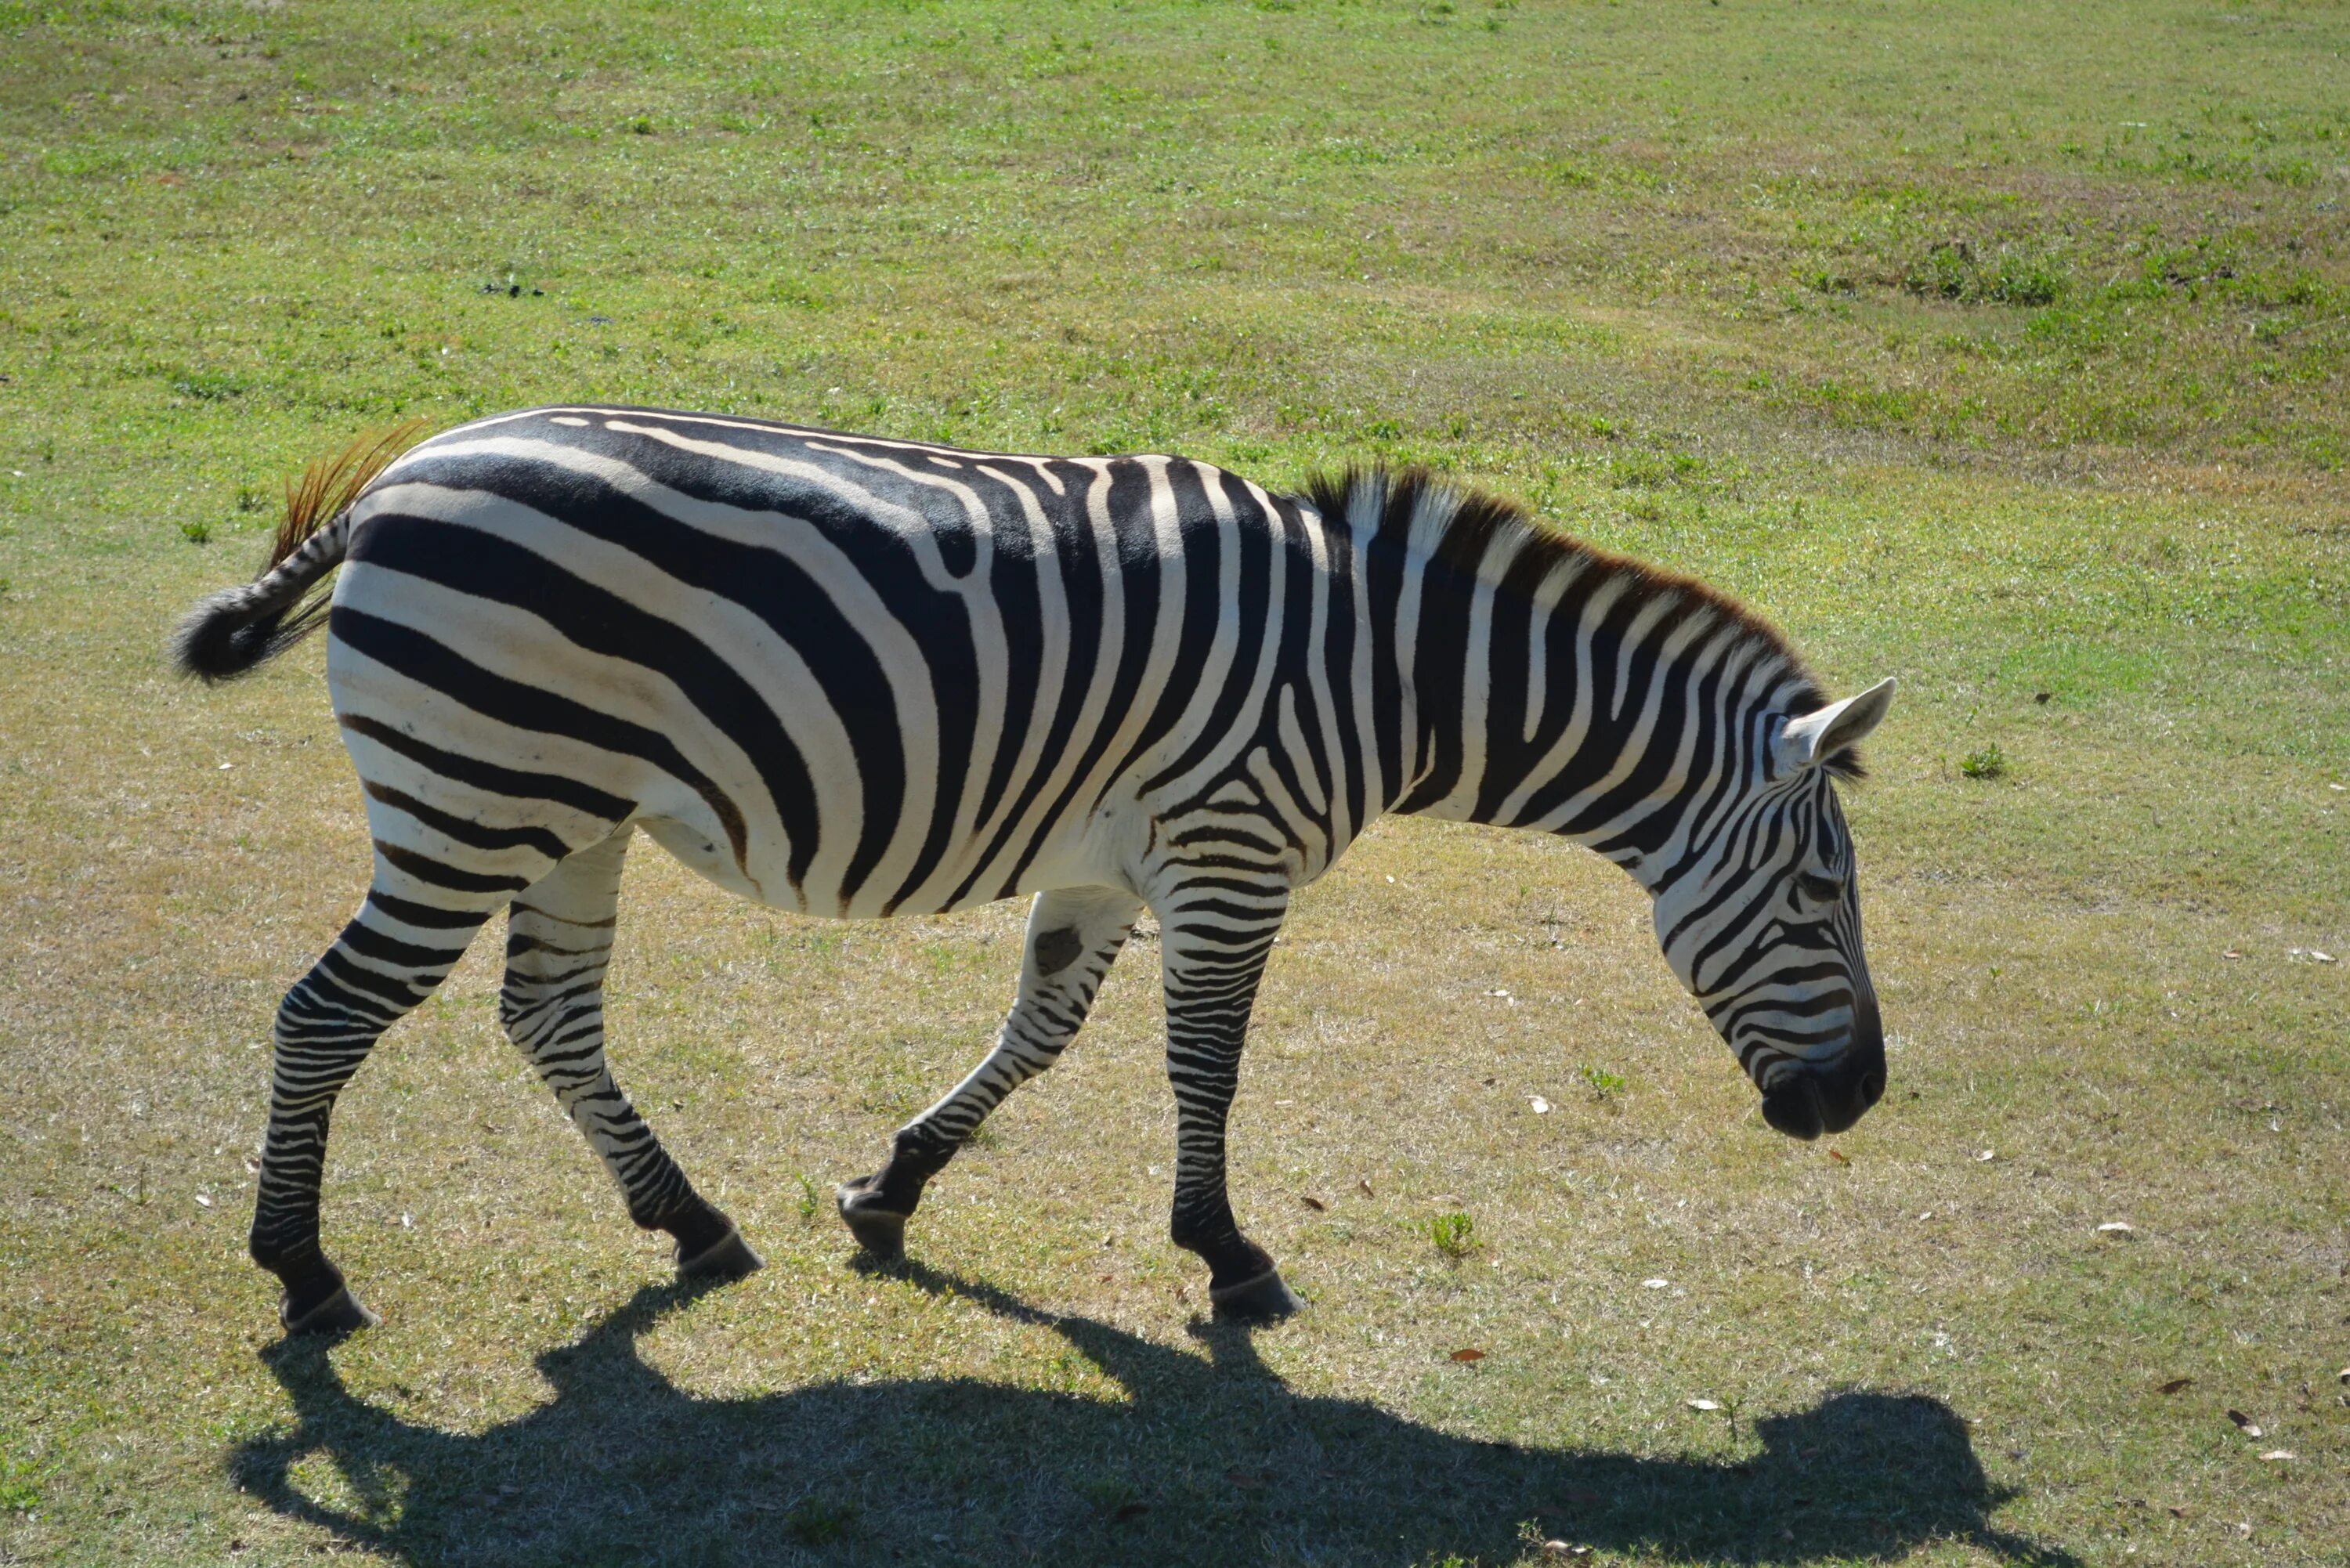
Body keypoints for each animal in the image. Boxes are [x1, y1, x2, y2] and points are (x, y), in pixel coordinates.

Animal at [174, 409, 1899, 1335]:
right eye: (1821, 897)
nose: (1863, 1101)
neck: (1385, 673)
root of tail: (407, 474)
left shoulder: (1118, 860)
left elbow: (1045, 1032)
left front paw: (889, 1188)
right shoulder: (1231, 849)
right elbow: (1205, 1059)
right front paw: (1228, 1254)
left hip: (564, 810)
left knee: (545, 1015)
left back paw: (692, 1221)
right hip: (472, 796)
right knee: (325, 1011)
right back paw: (304, 1271)